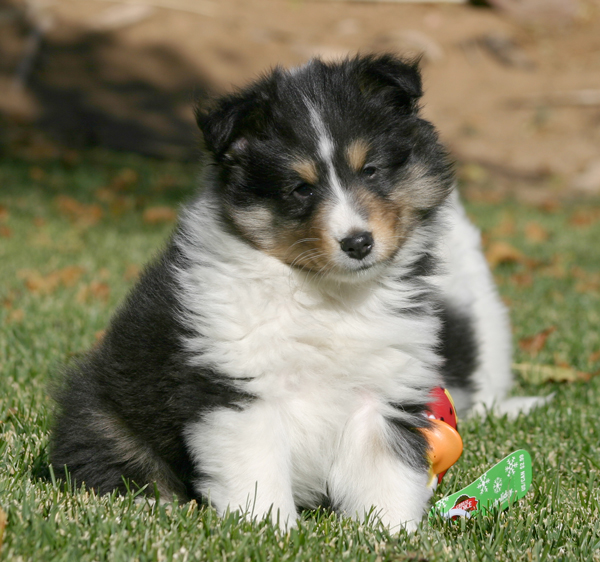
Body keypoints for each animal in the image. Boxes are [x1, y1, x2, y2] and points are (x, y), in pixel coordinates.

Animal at [51, 54, 516, 532]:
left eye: (370, 169)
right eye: (301, 188)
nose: (358, 243)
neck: (327, 294)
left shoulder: (383, 389)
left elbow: (385, 474)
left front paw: (390, 534)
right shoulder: (239, 391)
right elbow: (257, 474)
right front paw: (270, 532)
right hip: (105, 414)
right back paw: (154, 504)